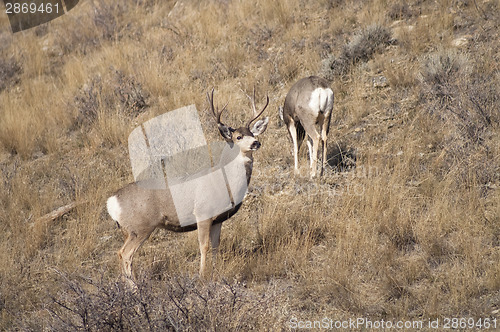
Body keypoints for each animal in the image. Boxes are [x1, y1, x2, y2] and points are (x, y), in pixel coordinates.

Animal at [106, 89, 270, 284]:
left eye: (253, 134)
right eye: (238, 137)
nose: (256, 143)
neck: (225, 181)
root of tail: (112, 201)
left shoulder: (218, 220)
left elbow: (215, 247)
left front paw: (215, 274)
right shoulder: (202, 213)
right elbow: (203, 246)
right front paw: (201, 277)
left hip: (128, 230)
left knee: (123, 254)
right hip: (140, 227)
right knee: (125, 254)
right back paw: (135, 288)